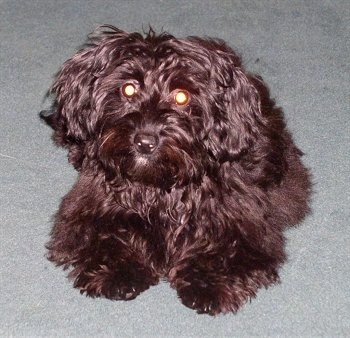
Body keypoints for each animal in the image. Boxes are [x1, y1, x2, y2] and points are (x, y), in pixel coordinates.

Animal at [39, 25, 310, 316]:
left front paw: (208, 284)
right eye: (128, 89)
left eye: (182, 96)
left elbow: (227, 248)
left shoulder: (245, 220)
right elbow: (104, 234)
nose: (145, 142)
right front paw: (119, 272)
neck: (160, 186)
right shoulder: (88, 206)